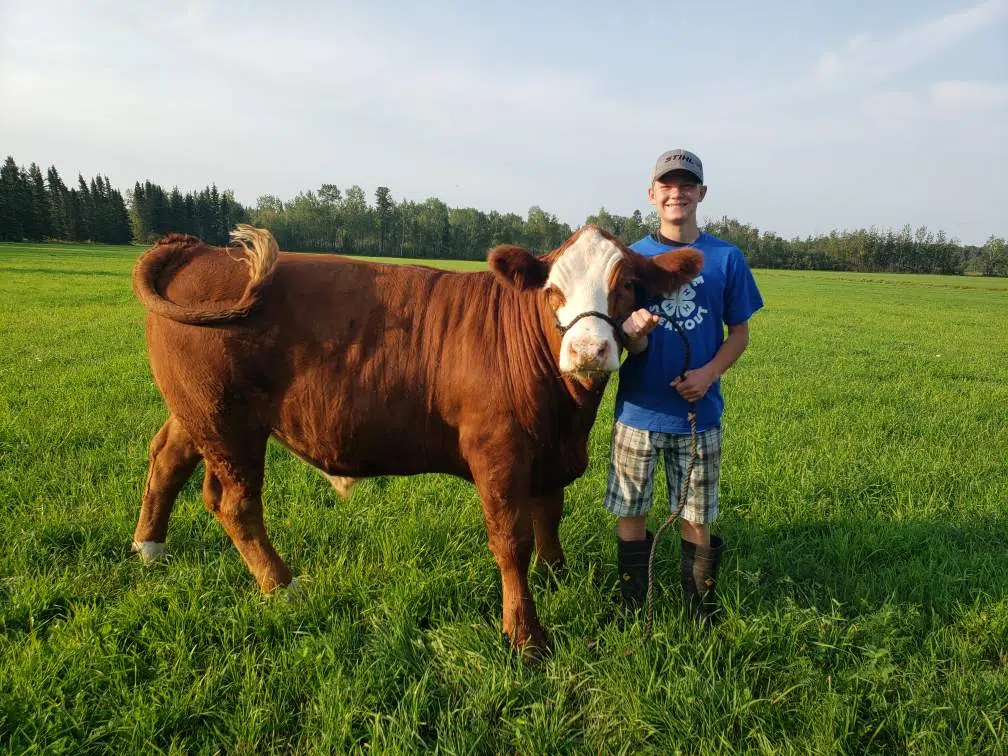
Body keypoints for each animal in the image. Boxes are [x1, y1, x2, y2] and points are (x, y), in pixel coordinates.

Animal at [132, 221, 701, 661]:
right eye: (551, 290)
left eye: (627, 284)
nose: (587, 350)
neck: (567, 413)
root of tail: (199, 249)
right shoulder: (498, 453)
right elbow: (511, 540)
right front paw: (526, 636)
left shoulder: (546, 453)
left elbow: (548, 515)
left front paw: (555, 574)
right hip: (226, 420)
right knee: (236, 503)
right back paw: (284, 588)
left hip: (195, 412)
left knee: (168, 458)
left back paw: (150, 548)